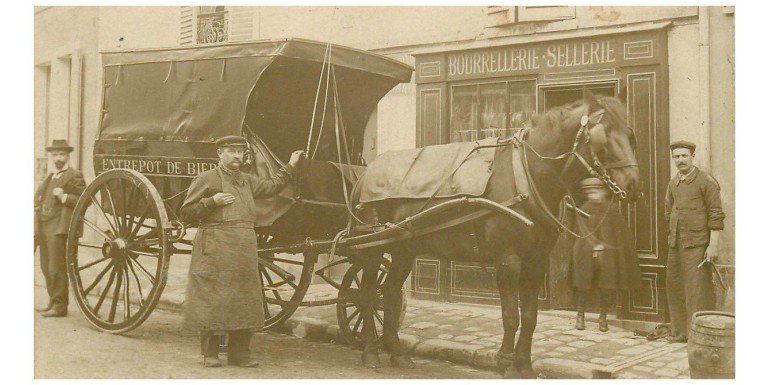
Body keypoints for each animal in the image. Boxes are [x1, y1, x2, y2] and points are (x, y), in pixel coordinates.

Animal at [346, 94, 636, 376]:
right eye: (604, 136)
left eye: (631, 135)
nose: (633, 184)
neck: (526, 175)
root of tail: (366, 174)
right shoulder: (508, 260)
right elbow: (511, 315)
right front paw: (506, 362)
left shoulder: (537, 261)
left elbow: (529, 317)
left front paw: (524, 365)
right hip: (372, 246)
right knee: (369, 294)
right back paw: (370, 350)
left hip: (403, 248)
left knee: (390, 293)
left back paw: (397, 352)